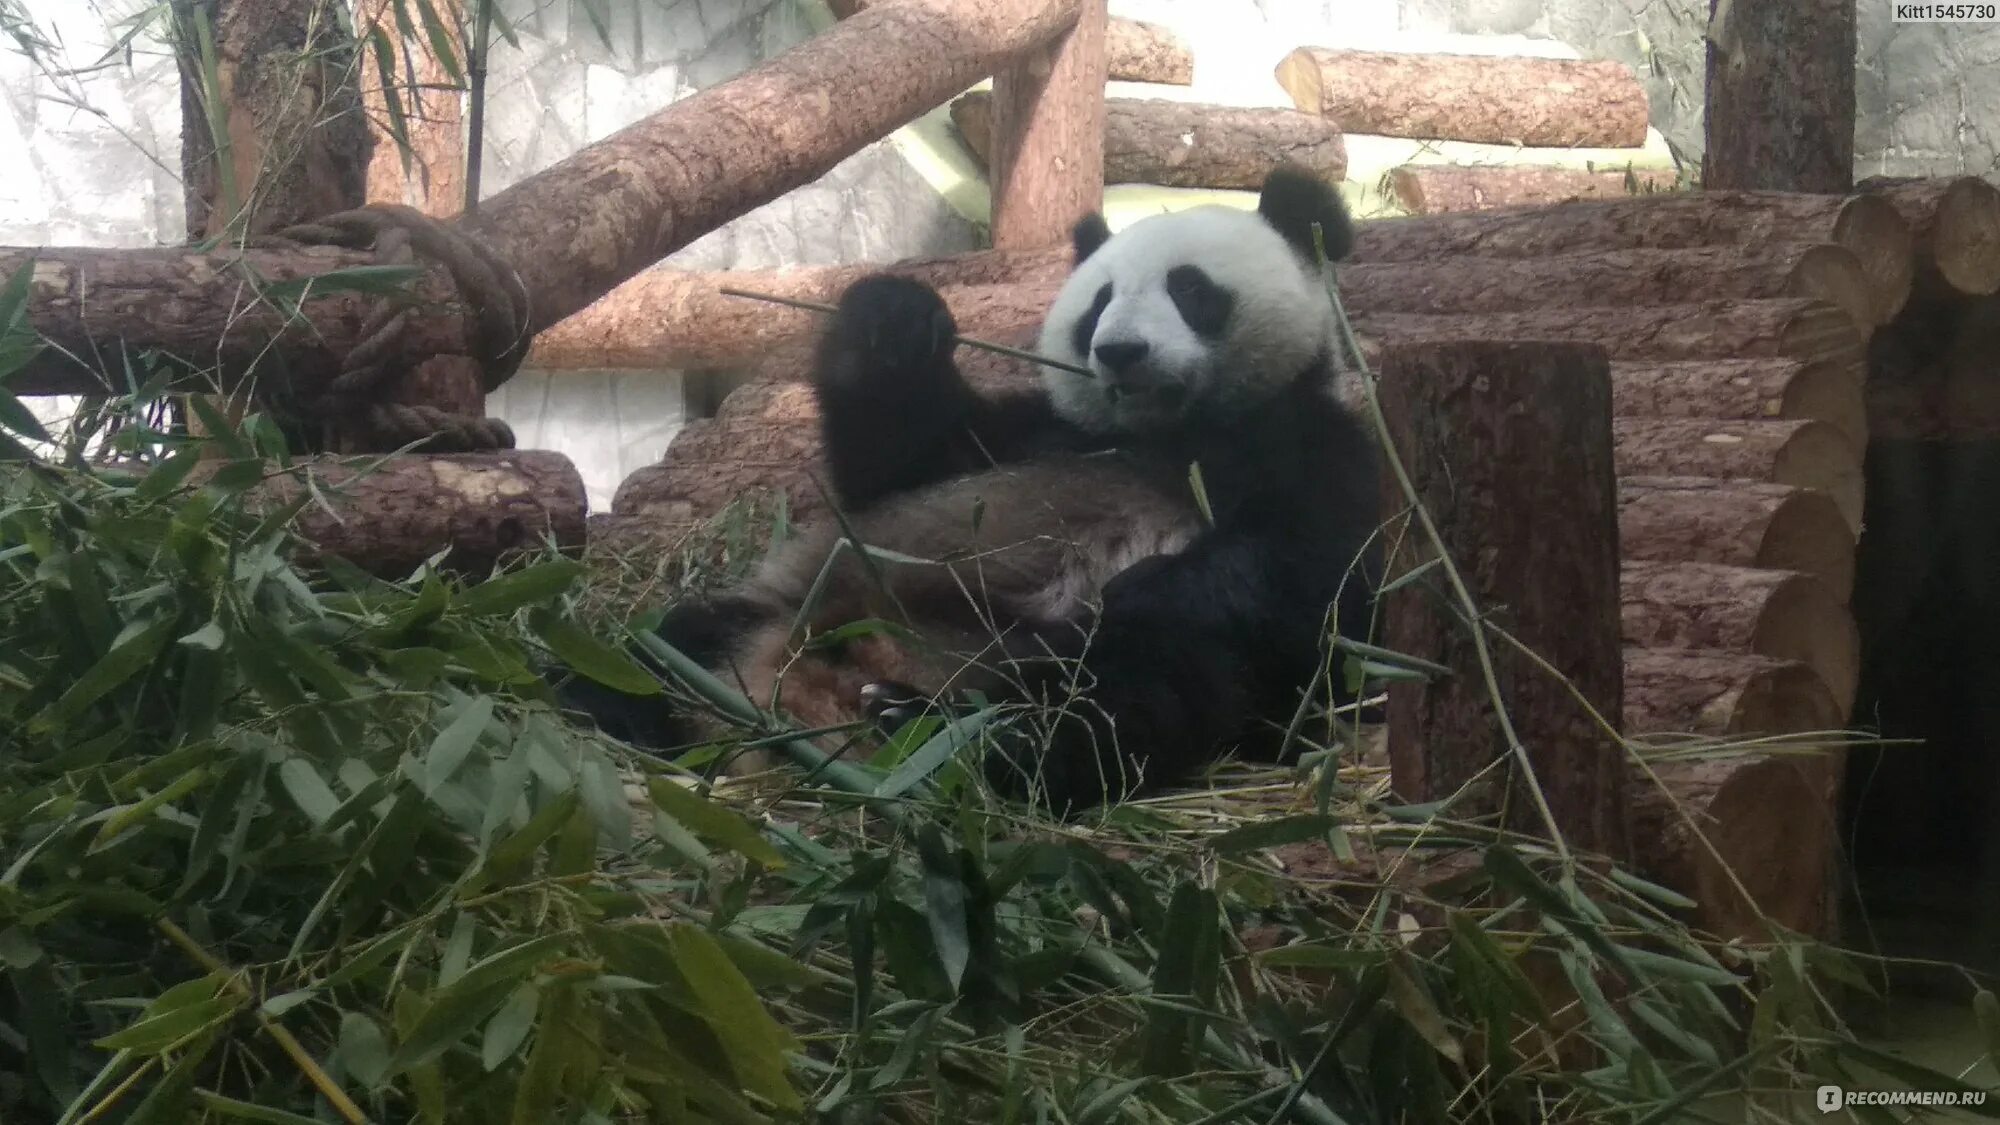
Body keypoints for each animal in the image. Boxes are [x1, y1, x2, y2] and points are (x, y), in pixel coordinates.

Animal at [556, 162, 1384, 804]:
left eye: (1190, 289)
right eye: (1098, 304)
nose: (1120, 351)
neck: (1163, 432)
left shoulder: (1310, 444)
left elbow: (1320, 579)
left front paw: (1149, 579)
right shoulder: (1039, 432)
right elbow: (897, 463)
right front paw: (892, 323)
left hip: (1064, 662)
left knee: (1122, 701)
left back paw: (936, 728)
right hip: (787, 610)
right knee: (665, 644)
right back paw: (592, 692)